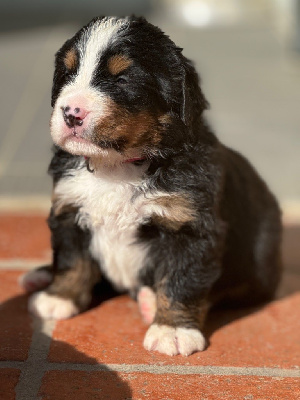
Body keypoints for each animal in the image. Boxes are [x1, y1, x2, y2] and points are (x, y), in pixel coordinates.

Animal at [19, 15, 282, 356]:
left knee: (229, 288)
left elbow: (182, 278)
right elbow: (71, 259)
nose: (71, 112)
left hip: (259, 257)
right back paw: (40, 277)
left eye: (122, 80)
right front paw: (59, 297)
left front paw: (173, 329)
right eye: (67, 73)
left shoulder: (190, 226)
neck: (116, 166)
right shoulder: (69, 208)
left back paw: (149, 302)